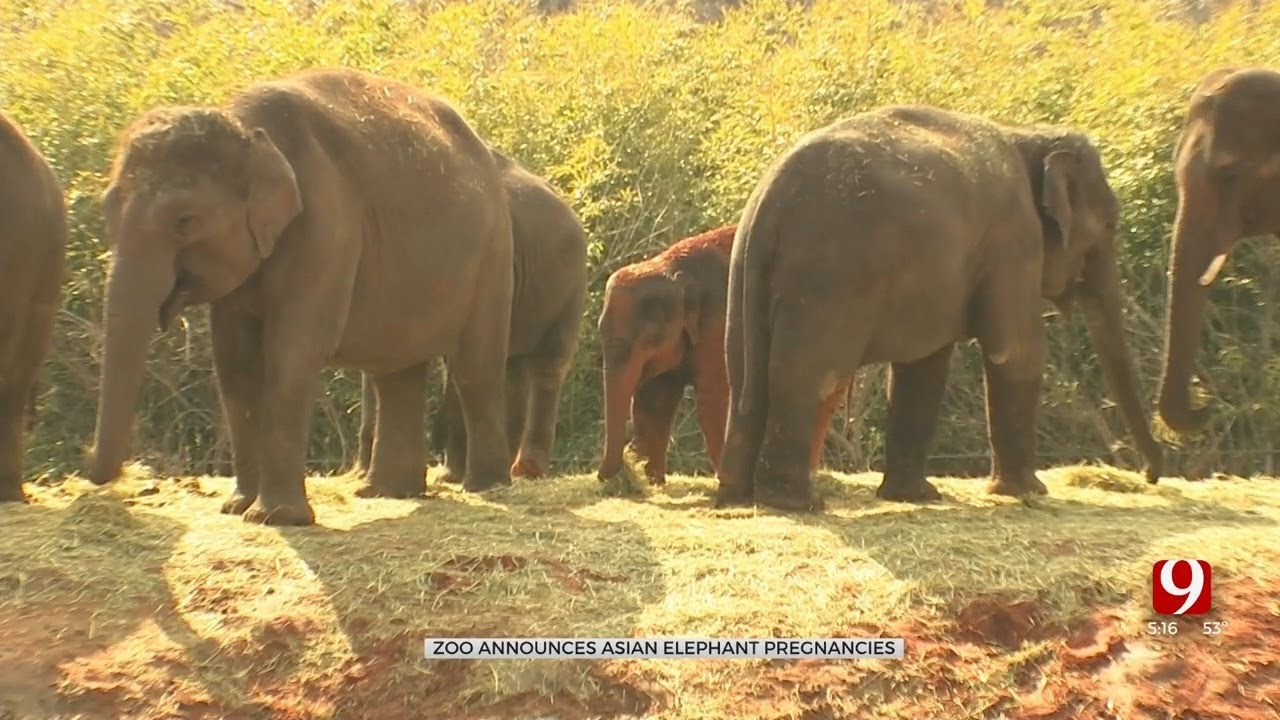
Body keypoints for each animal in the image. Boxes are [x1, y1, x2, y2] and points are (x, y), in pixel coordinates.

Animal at [85, 68, 515, 526]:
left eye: (185, 221)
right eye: (108, 210)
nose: (93, 463)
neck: (245, 128)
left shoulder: (327, 225)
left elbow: (294, 349)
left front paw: (274, 517)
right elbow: (234, 359)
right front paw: (237, 507)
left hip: (494, 252)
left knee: (475, 366)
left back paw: (486, 487)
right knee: (397, 370)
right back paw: (390, 493)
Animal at [597, 224, 851, 484]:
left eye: (648, 338)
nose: (604, 476)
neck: (672, 269)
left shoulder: (719, 326)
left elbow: (712, 401)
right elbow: (654, 401)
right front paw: (655, 482)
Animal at [717, 105, 1165, 512]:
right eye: (1109, 225)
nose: (1150, 475)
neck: (1028, 135)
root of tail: (768, 206)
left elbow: (924, 367)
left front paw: (916, 496)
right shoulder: (1013, 238)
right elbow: (1015, 351)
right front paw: (1030, 492)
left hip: (746, 279)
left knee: (744, 378)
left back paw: (738, 498)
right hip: (826, 281)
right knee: (807, 375)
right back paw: (798, 503)